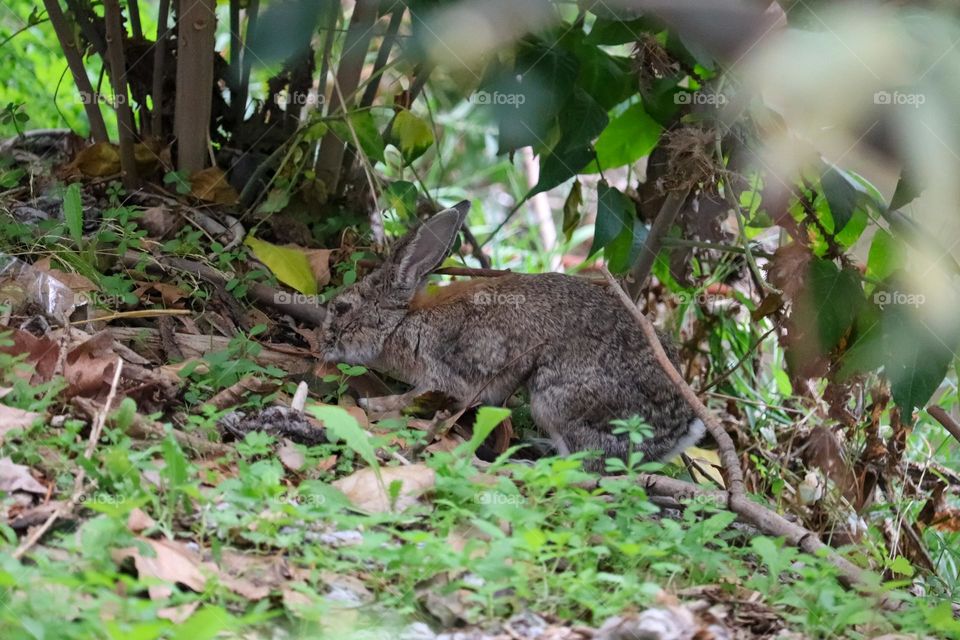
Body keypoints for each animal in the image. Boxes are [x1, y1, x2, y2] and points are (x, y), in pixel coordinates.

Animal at [322, 200, 704, 470]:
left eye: (341, 308)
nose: (321, 343)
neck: (402, 322)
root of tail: (681, 429)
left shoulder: (446, 375)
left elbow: (413, 397)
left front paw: (373, 404)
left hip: (558, 401)